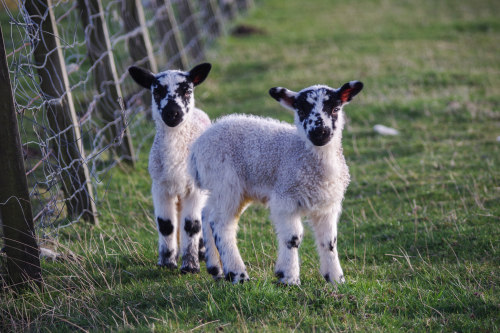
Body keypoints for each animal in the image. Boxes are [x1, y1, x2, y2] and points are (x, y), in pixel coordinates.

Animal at [128, 62, 212, 272]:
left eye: (187, 91)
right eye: (156, 91)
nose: (172, 113)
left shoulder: (195, 189)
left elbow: (192, 225)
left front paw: (190, 266)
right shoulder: (160, 186)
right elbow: (166, 225)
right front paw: (167, 263)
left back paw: (201, 252)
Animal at [188, 80, 364, 282]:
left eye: (335, 109)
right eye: (301, 111)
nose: (320, 132)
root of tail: (197, 147)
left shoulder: (327, 206)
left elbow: (329, 242)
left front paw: (336, 279)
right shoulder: (285, 198)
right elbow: (293, 238)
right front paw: (289, 278)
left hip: (228, 189)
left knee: (207, 213)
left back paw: (215, 268)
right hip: (225, 182)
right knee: (221, 224)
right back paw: (238, 274)